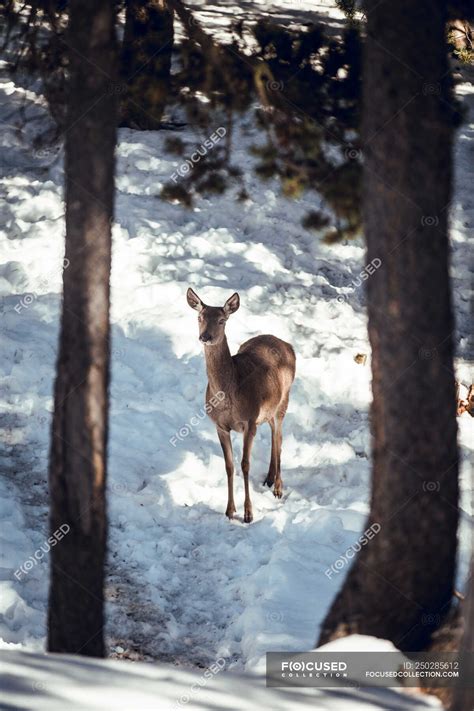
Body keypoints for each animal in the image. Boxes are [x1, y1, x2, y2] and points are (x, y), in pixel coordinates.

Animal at [186, 286, 294, 524]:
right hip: (268, 410)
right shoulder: (220, 425)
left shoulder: (249, 421)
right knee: (273, 433)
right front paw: (229, 510)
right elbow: (229, 466)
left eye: (222, 320)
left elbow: (245, 464)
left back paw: (278, 488)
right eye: (199, 317)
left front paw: (248, 513)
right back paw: (269, 478)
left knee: (279, 437)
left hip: (284, 399)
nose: (205, 336)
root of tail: (286, 344)